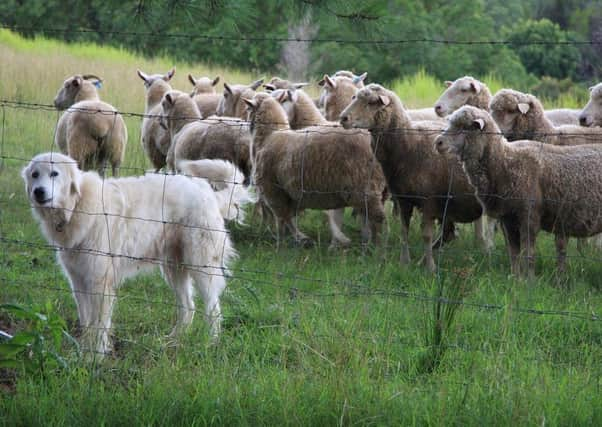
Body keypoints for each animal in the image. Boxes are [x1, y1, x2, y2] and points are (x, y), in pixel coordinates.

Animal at [22, 152, 252, 356]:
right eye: (35, 174)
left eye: (54, 173)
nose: (38, 192)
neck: (77, 206)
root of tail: (207, 191)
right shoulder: (78, 281)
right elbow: (86, 322)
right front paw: (83, 354)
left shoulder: (99, 282)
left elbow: (99, 325)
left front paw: (95, 358)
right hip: (173, 268)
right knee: (188, 306)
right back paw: (174, 340)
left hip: (201, 266)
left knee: (213, 309)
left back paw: (211, 343)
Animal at [240, 93, 384, 247]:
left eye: (248, 109)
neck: (268, 136)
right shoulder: (290, 195)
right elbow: (289, 219)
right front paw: (302, 238)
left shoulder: (274, 191)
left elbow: (282, 221)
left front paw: (281, 244)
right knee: (368, 218)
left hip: (364, 185)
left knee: (377, 218)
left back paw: (376, 247)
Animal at [338, 83, 482, 270]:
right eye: (354, 97)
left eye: (371, 102)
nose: (343, 118)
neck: (409, 144)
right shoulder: (403, 198)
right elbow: (404, 230)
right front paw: (405, 262)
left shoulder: (429, 200)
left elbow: (426, 234)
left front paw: (430, 268)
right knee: (448, 233)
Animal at [434, 107, 600, 278]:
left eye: (464, 127)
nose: (438, 142)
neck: (505, 162)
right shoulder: (508, 219)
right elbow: (513, 253)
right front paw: (515, 278)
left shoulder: (528, 216)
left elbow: (528, 254)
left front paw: (529, 279)